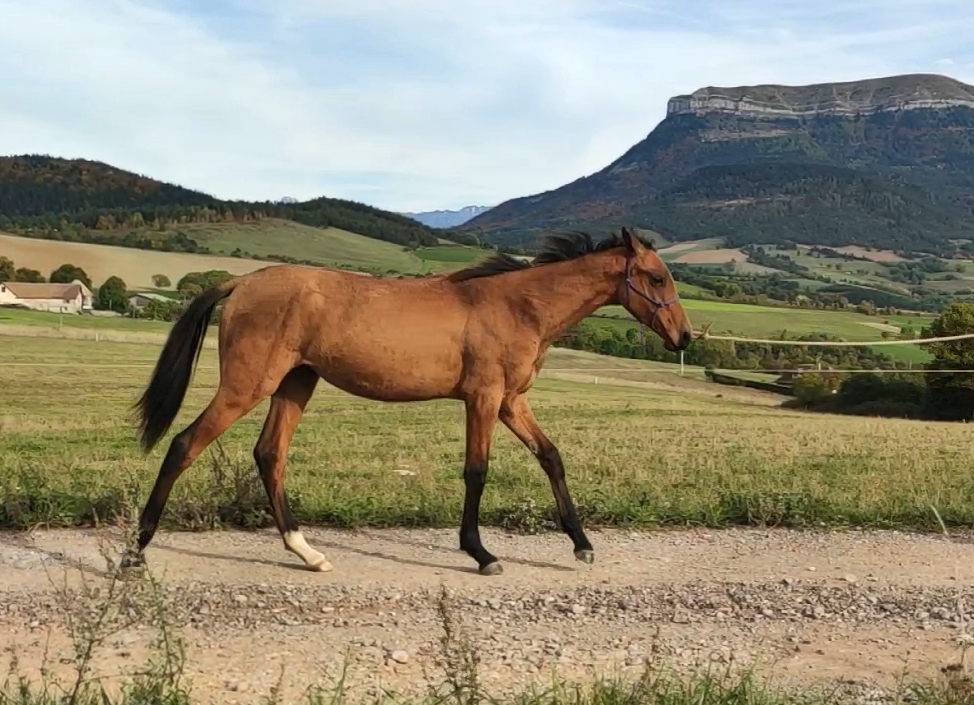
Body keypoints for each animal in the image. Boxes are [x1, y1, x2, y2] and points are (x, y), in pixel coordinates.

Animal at [122, 227, 692, 575]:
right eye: (657, 277)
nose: (684, 337)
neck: (517, 306)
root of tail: (241, 281)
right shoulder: (484, 399)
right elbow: (477, 472)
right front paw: (480, 552)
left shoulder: (511, 402)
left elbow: (551, 457)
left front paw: (582, 544)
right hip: (247, 386)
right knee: (184, 445)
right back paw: (136, 552)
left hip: (295, 383)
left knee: (269, 455)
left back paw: (307, 552)